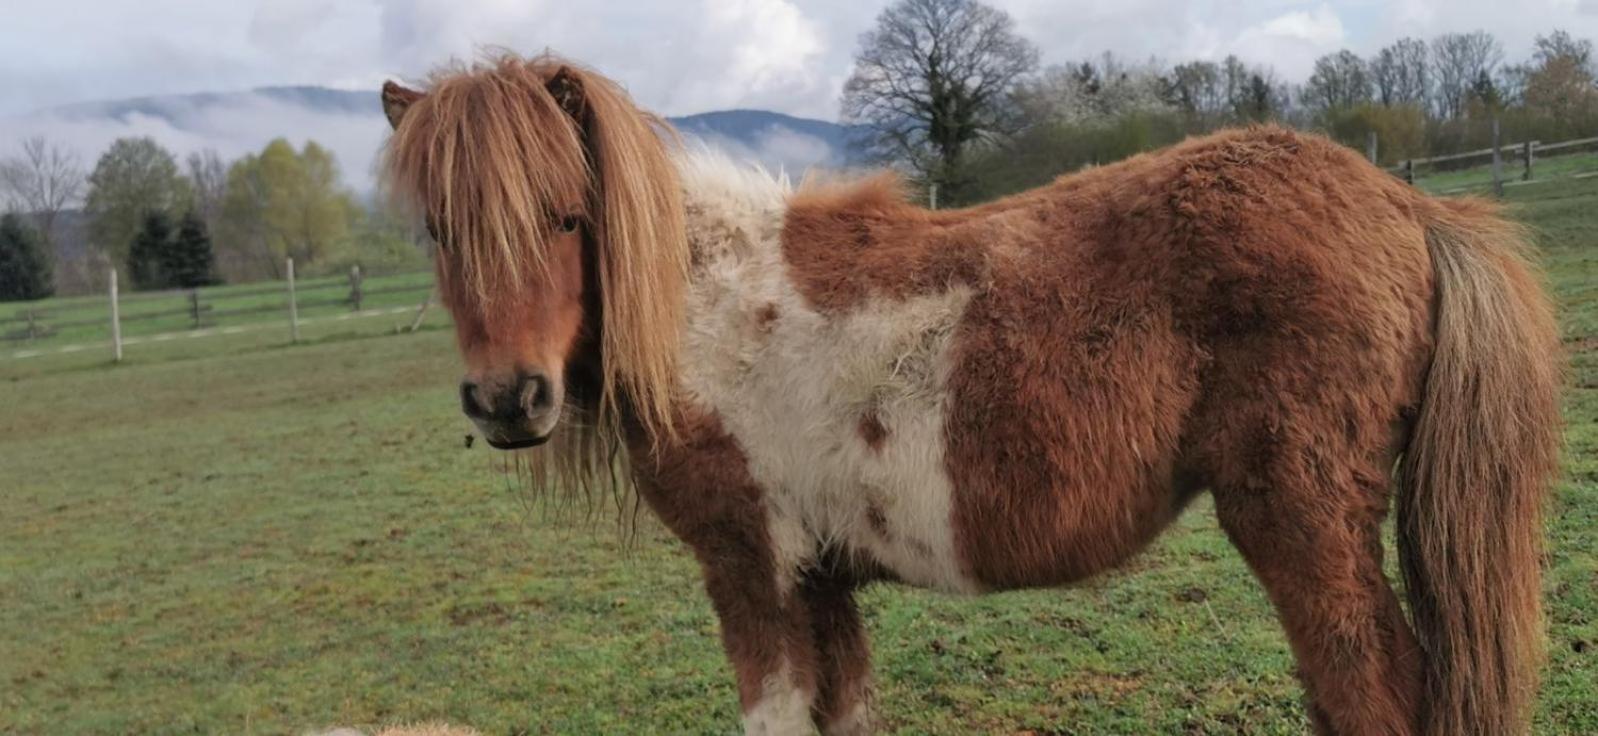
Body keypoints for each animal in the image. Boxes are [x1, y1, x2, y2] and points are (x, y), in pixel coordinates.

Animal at [377, 55, 1559, 734]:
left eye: (565, 214)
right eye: (435, 228)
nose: (507, 400)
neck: (704, 303)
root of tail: (1407, 207)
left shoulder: (752, 573)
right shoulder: (819, 579)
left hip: (1300, 522)